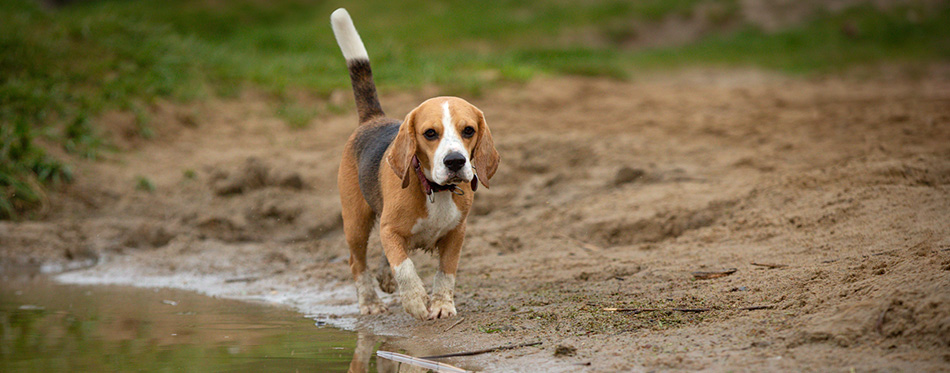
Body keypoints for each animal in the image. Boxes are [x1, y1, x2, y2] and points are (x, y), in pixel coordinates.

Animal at [330, 8, 502, 318]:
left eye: (468, 130)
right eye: (430, 133)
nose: (455, 161)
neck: (435, 189)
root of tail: (374, 118)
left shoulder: (456, 234)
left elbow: (446, 273)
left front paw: (442, 305)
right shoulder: (389, 230)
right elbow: (405, 267)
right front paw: (414, 300)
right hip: (355, 222)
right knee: (357, 262)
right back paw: (370, 302)